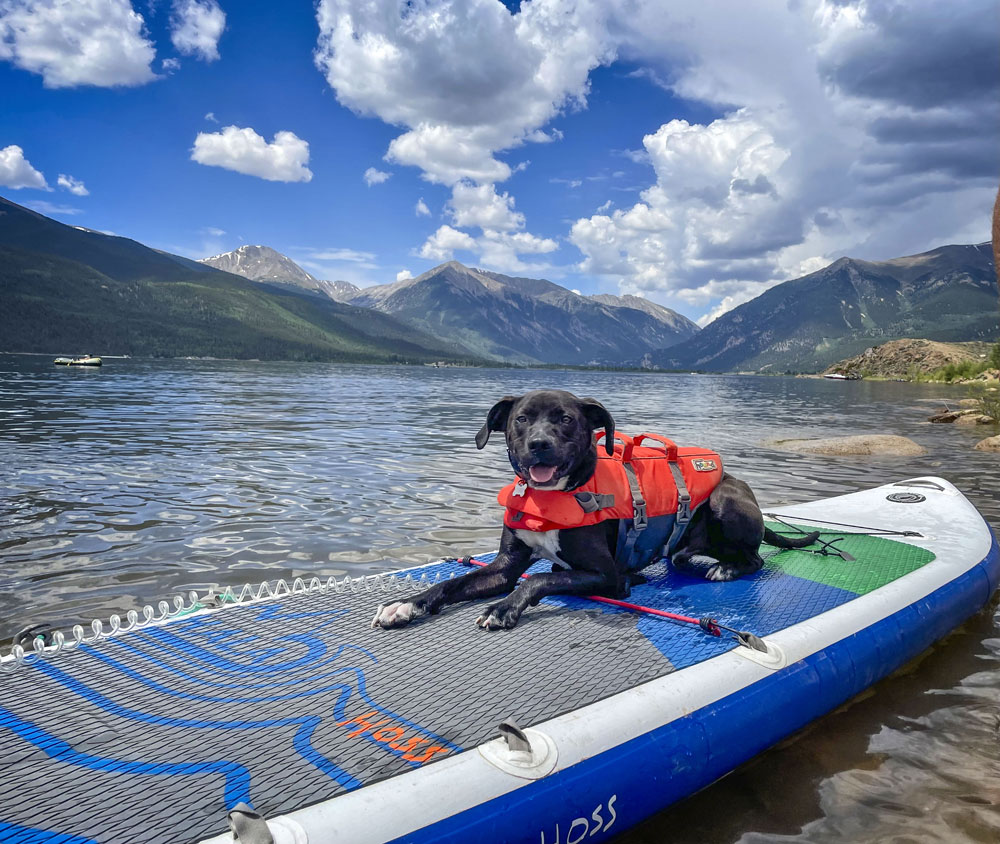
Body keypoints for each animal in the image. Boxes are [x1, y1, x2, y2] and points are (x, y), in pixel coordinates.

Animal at [372, 392, 816, 628]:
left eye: (566, 419)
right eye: (521, 419)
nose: (539, 444)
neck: (550, 496)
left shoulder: (607, 576)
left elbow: (538, 580)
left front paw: (503, 607)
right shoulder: (504, 566)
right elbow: (452, 584)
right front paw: (407, 604)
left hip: (726, 502)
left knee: (755, 559)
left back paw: (725, 568)